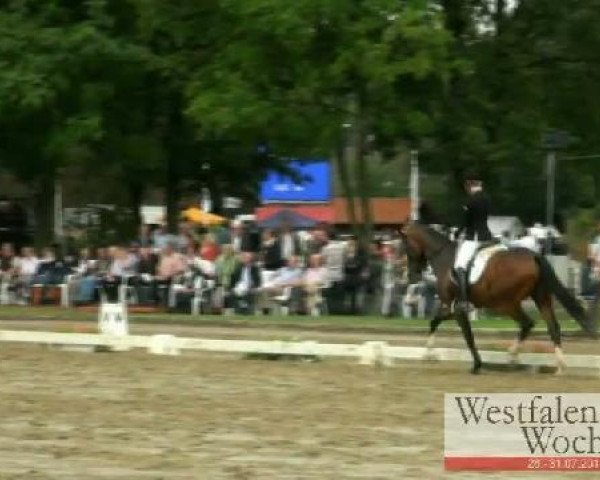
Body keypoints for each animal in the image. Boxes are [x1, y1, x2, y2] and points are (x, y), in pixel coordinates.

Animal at [398, 222, 596, 376]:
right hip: (540, 298)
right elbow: (434, 322)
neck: (443, 256)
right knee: (552, 327)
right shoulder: (452, 307)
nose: (412, 276)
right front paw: (428, 354)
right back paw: (559, 366)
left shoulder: (457, 308)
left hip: (505, 304)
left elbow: (468, 336)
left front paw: (476, 365)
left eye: (406, 246)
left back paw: (512, 356)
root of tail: (533, 255)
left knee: (527, 323)